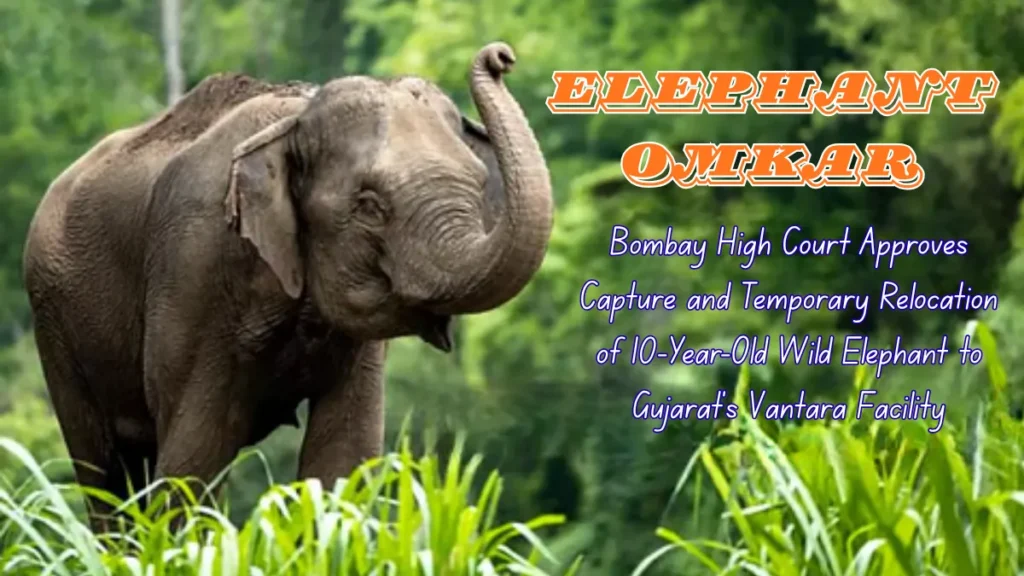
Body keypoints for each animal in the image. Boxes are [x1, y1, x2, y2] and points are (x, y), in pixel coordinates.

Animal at [22, 42, 552, 531]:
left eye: (480, 183)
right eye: (369, 205)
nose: (501, 56)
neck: (296, 118)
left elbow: (344, 454)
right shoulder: (194, 268)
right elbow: (194, 459)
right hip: (54, 320)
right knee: (106, 470)